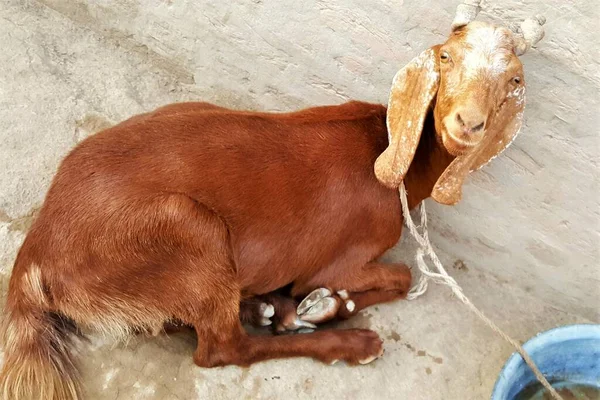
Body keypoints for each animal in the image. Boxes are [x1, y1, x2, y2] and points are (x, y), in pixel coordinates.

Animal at [0, 2, 544, 396]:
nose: (467, 123)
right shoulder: (340, 260)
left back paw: (266, 307)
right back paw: (345, 340)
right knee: (219, 349)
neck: (386, 148)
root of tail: (36, 252)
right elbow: (402, 276)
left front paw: (312, 306)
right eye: (446, 59)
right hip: (189, 228)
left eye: (513, 80)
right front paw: (327, 305)